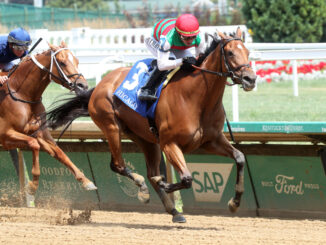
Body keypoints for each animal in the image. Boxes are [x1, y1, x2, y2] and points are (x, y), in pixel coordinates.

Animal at [0, 41, 97, 196]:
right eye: (62, 62)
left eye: (77, 61)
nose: (83, 85)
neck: (22, 94)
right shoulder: (5, 135)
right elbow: (34, 144)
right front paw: (31, 187)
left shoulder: (40, 132)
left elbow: (59, 152)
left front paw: (86, 181)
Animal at [47, 28, 258, 222]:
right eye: (230, 53)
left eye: (248, 52)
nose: (251, 79)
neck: (197, 98)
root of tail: (100, 85)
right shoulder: (170, 144)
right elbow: (187, 178)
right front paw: (164, 183)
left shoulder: (211, 140)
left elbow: (240, 157)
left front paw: (234, 203)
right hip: (112, 127)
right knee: (119, 165)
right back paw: (143, 189)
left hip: (145, 138)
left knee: (149, 173)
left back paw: (173, 211)